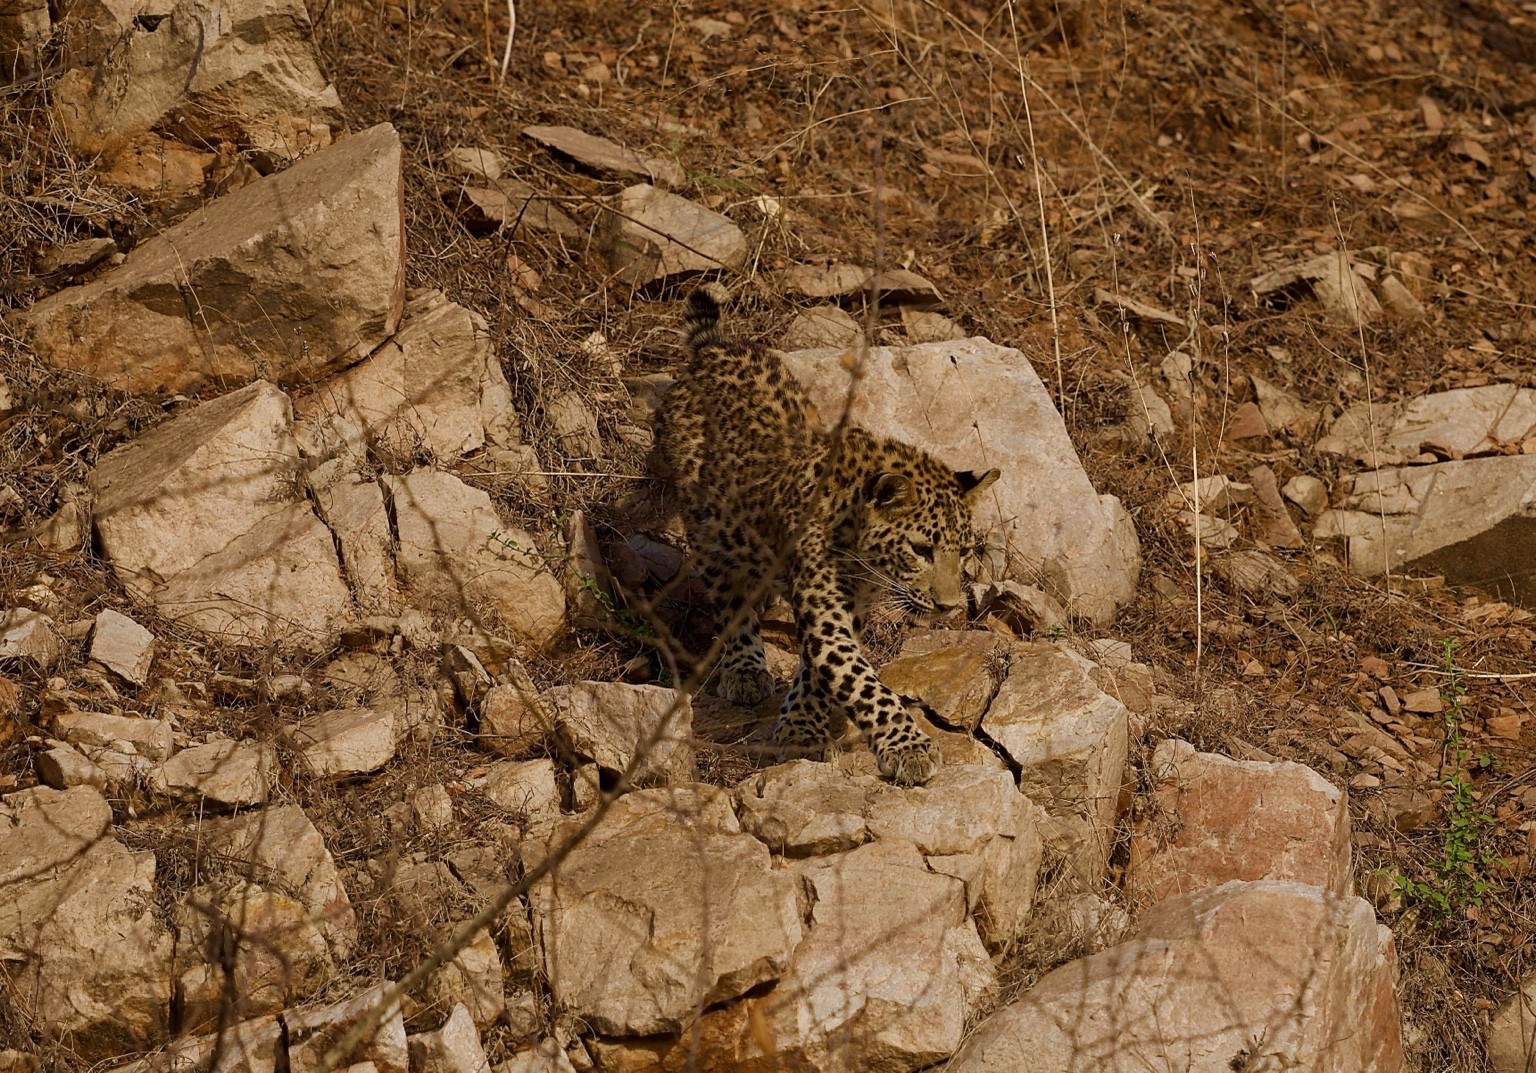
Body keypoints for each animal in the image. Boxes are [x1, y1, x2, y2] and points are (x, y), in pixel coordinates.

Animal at [657, 284, 1000, 785]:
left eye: (963, 552)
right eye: (921, 550)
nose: (949, 606)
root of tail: (713, 349)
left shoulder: (850, 608)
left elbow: (821, 675)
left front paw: (801, 723)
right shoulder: (825, 606)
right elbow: (861, 682)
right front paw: (910, 746)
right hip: (708, 530)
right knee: (731, 598)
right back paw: (744, 668)